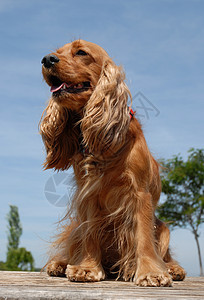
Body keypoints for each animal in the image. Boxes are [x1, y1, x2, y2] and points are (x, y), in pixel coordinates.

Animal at [40, 39, 186, 286]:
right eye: (57, 52)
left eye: (81, 52)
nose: (47, 59)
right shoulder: (88, 195)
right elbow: (90, 234)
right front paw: (87, 269)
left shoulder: (139, 193)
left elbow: (143, 237)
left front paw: (151, 272)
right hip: (75, 227)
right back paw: (60, 264)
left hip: (164, 228)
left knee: (164, 253)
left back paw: (172, 268)